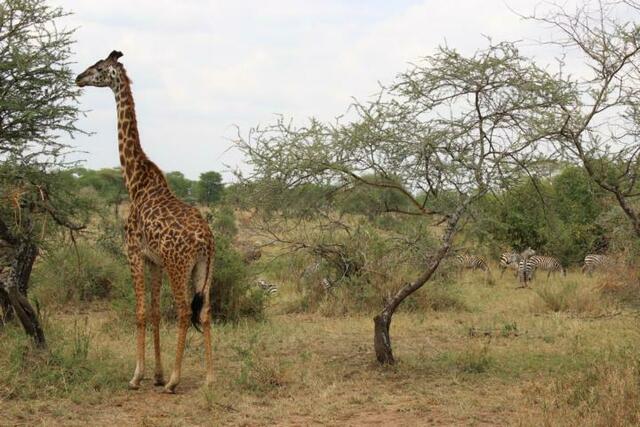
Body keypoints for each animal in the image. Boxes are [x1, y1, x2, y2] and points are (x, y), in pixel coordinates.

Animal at [76, 51, 215, 393]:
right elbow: (154, 312)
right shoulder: (155, 261)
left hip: (181, 265)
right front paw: (157, 374)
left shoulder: (133, 252)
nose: (78, 78)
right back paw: (209, 377)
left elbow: (139, 312)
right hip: (204, 269)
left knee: (183, 311)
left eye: (99, 68)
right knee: (205, 312)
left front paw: (138, 376)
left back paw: (176, 382)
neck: (135, 183)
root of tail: (206, 240)